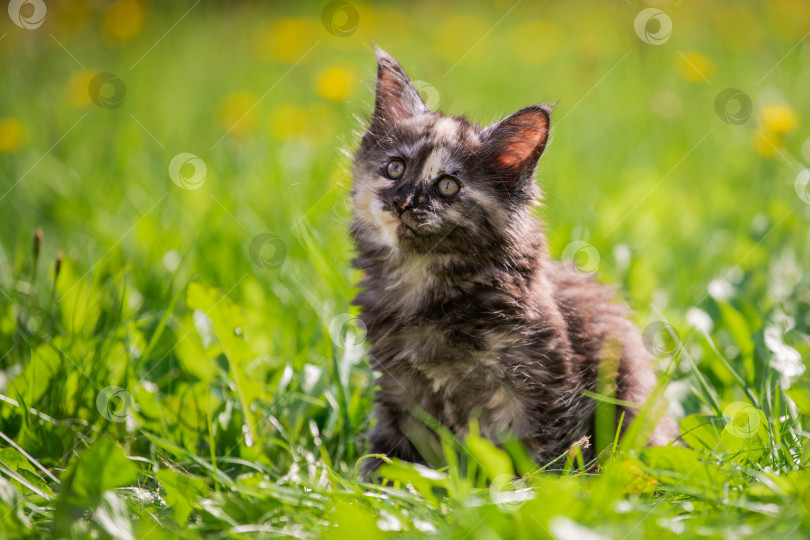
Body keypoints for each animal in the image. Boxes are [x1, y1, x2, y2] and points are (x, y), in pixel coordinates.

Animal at [350, 47, 672, 476]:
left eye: (447, 186)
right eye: (394, 168)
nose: (403, 202)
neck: (424, 278)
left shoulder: (539, 385)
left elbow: (545, 455)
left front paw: (533, 488)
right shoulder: (400, 388)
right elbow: (388, 452)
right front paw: (371, 483)